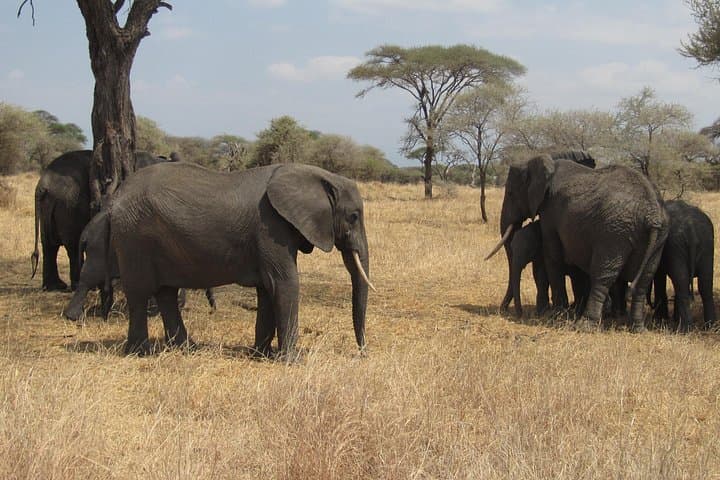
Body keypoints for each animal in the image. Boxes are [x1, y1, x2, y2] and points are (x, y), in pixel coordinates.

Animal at [31, 150, 176, 291]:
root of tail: (43, 185)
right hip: (69, 205)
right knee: (72, 245)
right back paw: (79, 286)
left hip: (50, 206)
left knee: (49, 246)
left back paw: (54, 286)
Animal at [62, 208, 217, 321]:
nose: (212, 311)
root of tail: (84, 234)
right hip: (98, 249)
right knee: (88, 279)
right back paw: (74, 317)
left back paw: (105, 315)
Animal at [104, 162, 372, 357]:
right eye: (353, 216)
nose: (362, 353)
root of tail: (116, 195)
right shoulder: (270, 228)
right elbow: (285, 283)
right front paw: (292, 360)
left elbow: (267, 288)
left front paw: (261, 355)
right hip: (134, 236)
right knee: (139, 293)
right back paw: (139, 353)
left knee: (166, 293)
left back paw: (187, 349)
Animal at [488, 155, 669, 331]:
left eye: (510, 193)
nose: (507, 312)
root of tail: (652, 214)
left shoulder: (551, 211)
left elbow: (552, 255)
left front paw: (558, 314)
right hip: (658, 236)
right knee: (644, 279)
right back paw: (637, 328)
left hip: (614, 233)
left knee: (602, 276)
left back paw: (585, 325)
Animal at [650, 200, 715, 331]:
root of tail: (691, 229)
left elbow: (659, 276)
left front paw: (659, 320)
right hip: (706, 243)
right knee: (704, 284)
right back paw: (710, 326)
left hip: (676, 245)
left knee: (682, 283)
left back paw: (684, 330)